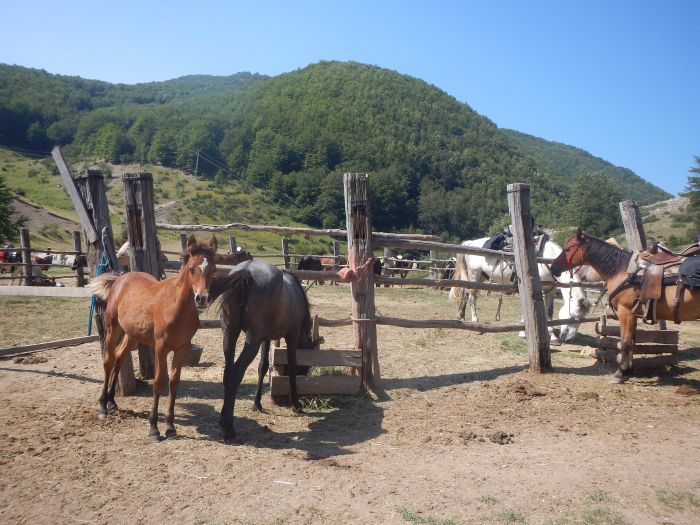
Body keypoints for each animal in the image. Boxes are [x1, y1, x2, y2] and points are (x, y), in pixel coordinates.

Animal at [90, 235, 216, 440]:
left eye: (213, 268)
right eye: (191, 268)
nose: (202, 298)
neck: (176, 306)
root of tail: (120, 278)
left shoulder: (182, 349)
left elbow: (174, 384)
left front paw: (170, 427)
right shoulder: (160, 348)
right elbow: (158, 383)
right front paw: (154, 428)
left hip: (133, 334)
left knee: (119, 357)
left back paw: (112, 403)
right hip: (112, 328)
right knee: (108, 360)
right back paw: (102, 407)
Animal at [209, 260, 314, 440]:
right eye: (306, 367)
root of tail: (246, 271)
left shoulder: (266, 338)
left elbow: (263, 367)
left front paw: (256, 404)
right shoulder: (292, 335)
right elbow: (292, 368)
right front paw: (295, 403)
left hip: (230, 333)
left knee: (228, 373)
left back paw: (224, 420)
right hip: (252, 341)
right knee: (236, 373)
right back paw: (228, 427)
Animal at [448, 237, 592, 344]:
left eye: (582, 318)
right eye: (573, 317)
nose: (568, 340)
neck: (545, 260)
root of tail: (470, 243)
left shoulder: (551, 290)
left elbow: (549, 312)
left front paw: (552, 336)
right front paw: (523, 334)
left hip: (481, 277)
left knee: (466, 292)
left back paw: (461, 316)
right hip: (474, 275)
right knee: (472, 297)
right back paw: (475, 321)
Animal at [552, 228, 700, 380]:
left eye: (568, 249)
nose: (553, 268)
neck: (621, 270)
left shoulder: (625, 312)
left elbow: (625, 342)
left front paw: (621, 373)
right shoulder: (633, 314)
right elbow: (632, 342)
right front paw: (629, 371)